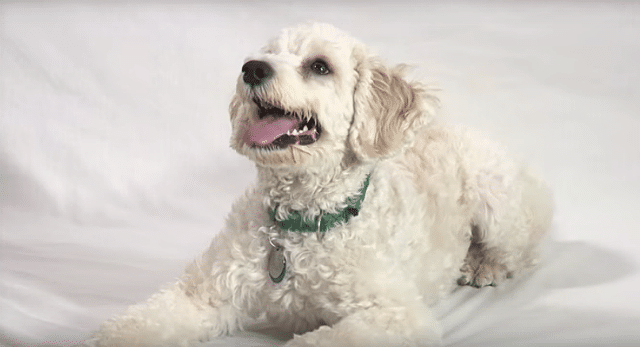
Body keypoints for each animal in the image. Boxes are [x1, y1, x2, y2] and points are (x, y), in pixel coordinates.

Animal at [91, 23, 556, 346]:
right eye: (267, 55)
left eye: (319, 66)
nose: (251, 68)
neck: (301, 222)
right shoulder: (205, 293)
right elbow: (143, 322)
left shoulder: (395, 315)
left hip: (496, 200)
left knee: (524, 252)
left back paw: (482, 265)